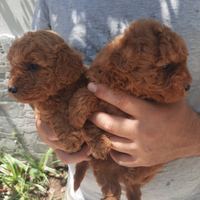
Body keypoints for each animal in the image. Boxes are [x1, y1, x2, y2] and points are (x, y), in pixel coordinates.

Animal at [68, 18, 192, 200]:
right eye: (166, 66)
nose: (188, 86)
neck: (126, 87)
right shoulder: (97, 83)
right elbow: (88, 94)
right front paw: (75, 114)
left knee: (130, 183)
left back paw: (132, 173)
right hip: (103, 168)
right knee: (112, 189)